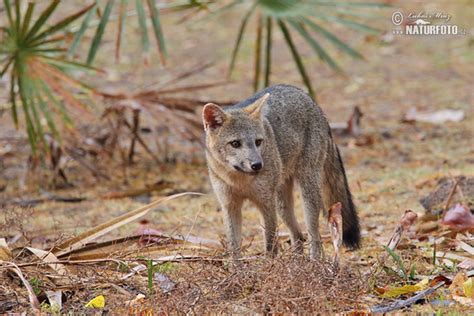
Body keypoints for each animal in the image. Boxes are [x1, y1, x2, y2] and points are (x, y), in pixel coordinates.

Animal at [202, 84, 362, 260]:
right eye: (235, 143)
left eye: (258, 142)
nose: (257, 165)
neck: (239, 180)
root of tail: (310, 100)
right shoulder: (230, 206)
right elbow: (234, 249)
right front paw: (237, 268)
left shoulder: (266, 204)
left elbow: (270, 244)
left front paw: (270, 266)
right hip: (282, 205)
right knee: (298, 235)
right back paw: (298, 263)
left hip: (306, 196)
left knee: (314, 235)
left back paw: (314, 263)